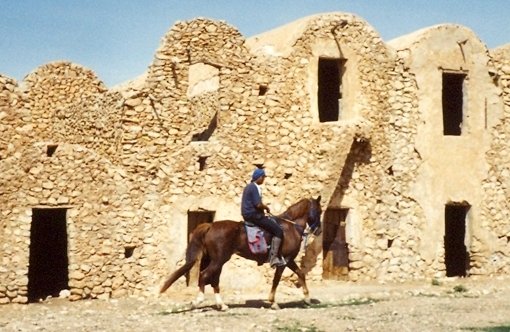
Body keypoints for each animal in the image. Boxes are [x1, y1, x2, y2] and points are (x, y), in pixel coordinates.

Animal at [159, 196, 320, 310]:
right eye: (319, 210)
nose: (318, 230)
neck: (290, 227)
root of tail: (211, 226)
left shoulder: (289, 260)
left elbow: (301, 274)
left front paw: (307, 299)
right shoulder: (284, 261)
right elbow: (276, 280)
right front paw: (273, 302)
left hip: (216, 260)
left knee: (213, 280)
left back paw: (222, 305)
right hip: (219, 260)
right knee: (205, 275)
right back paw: (199, 300)